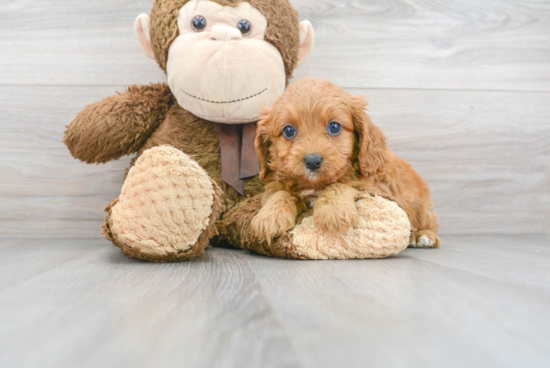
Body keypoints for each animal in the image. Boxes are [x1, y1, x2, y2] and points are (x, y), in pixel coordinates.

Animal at [252, 79, 442, 249]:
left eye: (334, 127)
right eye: (289, 131)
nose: (312, 161)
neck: (315, 185)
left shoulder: (377, 190)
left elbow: (341, 185)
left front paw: (333, 210)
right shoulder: (276, 183)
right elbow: (281, 193)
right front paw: (269, 217)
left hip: (424, 209)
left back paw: (424, 236)